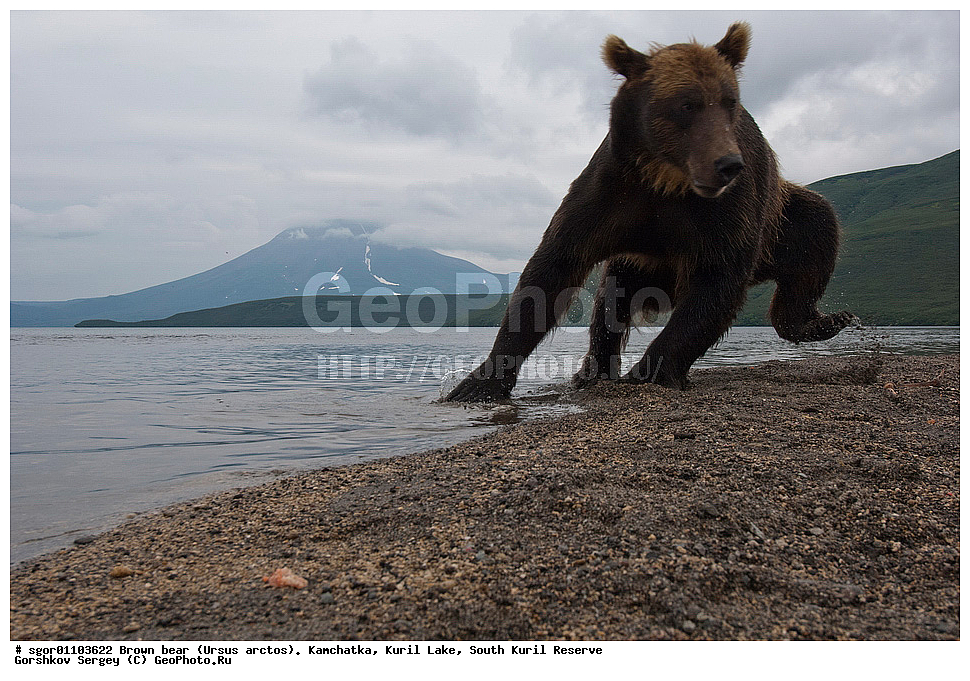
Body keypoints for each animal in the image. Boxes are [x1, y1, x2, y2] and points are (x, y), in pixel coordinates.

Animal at [445, 22, 856, 402]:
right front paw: (480, 382)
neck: (667, 180)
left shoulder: (726, 215)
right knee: (610, 303)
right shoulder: (612, 197)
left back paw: (827, 320)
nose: (727, 165)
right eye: (686, 104)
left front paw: (649, 372)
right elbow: (550, 272)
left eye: (730, 102)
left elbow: (715, 284)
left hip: (777, 224)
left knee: (816, 232)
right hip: (637, 263)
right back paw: (593, 371)